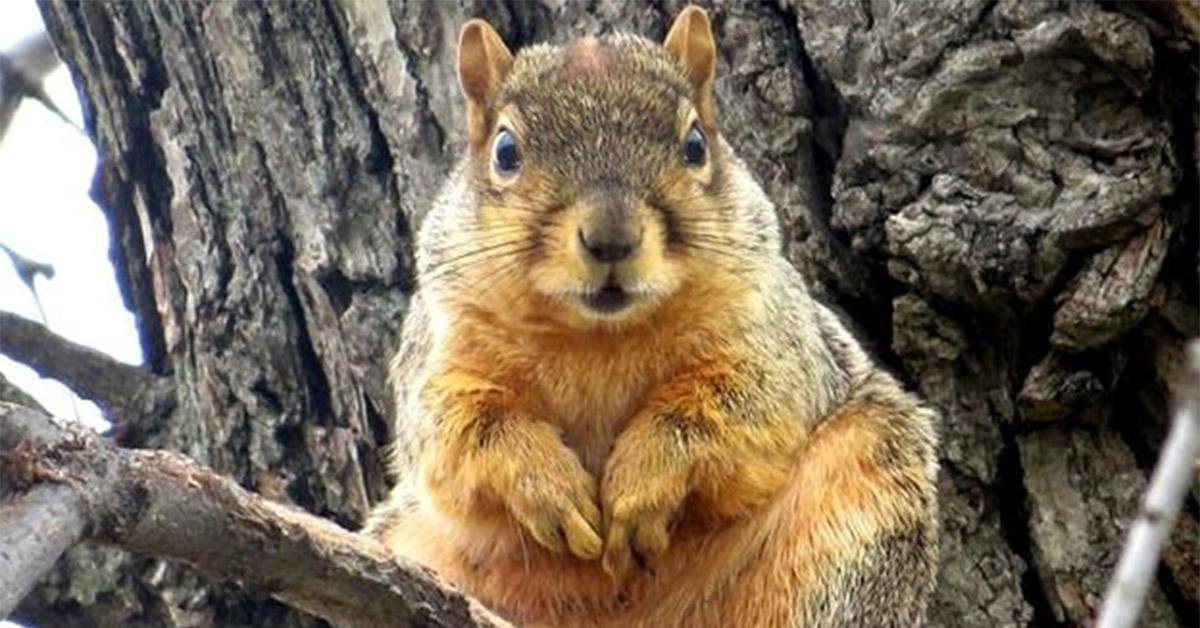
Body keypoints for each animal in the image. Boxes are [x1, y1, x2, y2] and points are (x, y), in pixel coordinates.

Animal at [366, 7, 939, 628]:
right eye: (505, 151)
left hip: (862, 493)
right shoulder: (441, 349)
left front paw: (642, 484)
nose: (611, 238)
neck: (597, 337)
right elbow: (457, 431)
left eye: (695, 144)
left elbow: (739, 407)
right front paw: (551, 488)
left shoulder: (773, 335)